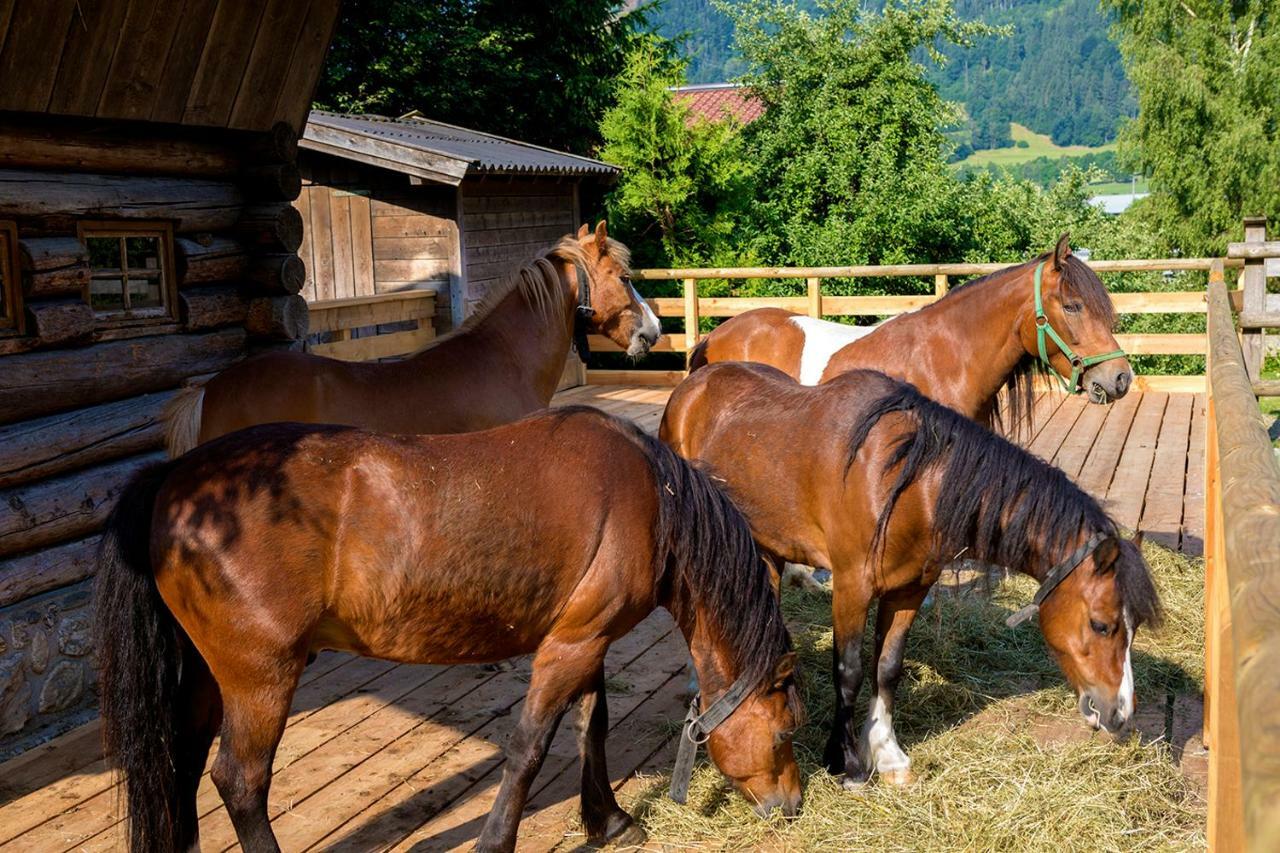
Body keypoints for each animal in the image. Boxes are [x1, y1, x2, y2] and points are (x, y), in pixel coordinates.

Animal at [97, 404, 798, 850]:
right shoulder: (570, 646)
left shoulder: (585, 640)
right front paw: (499, 841)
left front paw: (609, 821)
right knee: (240, 782)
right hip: (259, 678)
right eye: (788, 730)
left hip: (207, 677)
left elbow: (589, 727)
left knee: (183, 762)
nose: (790, 807)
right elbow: (528, 748)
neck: (652, 499)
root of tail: (174, 479)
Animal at [660, 361, 1162, 788]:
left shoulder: (909, 590)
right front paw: (846, 764)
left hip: (765, 543)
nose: (1120, 714)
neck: (912, 482)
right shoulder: (852, 587)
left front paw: (887, 754)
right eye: (1102, 625)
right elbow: (849, 670)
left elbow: (887, 669)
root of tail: (692, 384)